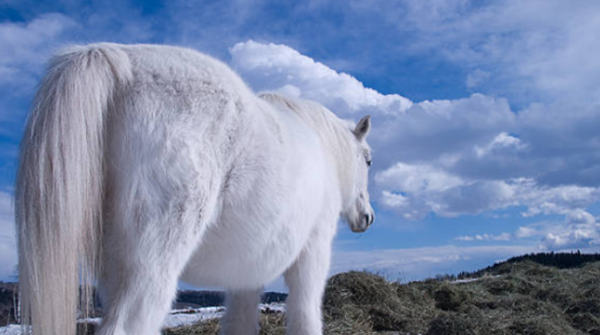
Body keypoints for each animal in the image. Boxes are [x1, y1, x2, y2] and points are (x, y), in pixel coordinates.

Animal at [16, 44, 372, 335]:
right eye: (368, 160)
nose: (367, 217)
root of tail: (122, 63)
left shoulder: (247, 271)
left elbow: (240, 322)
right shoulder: (313, 252)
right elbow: (305, 313)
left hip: (115, 269)